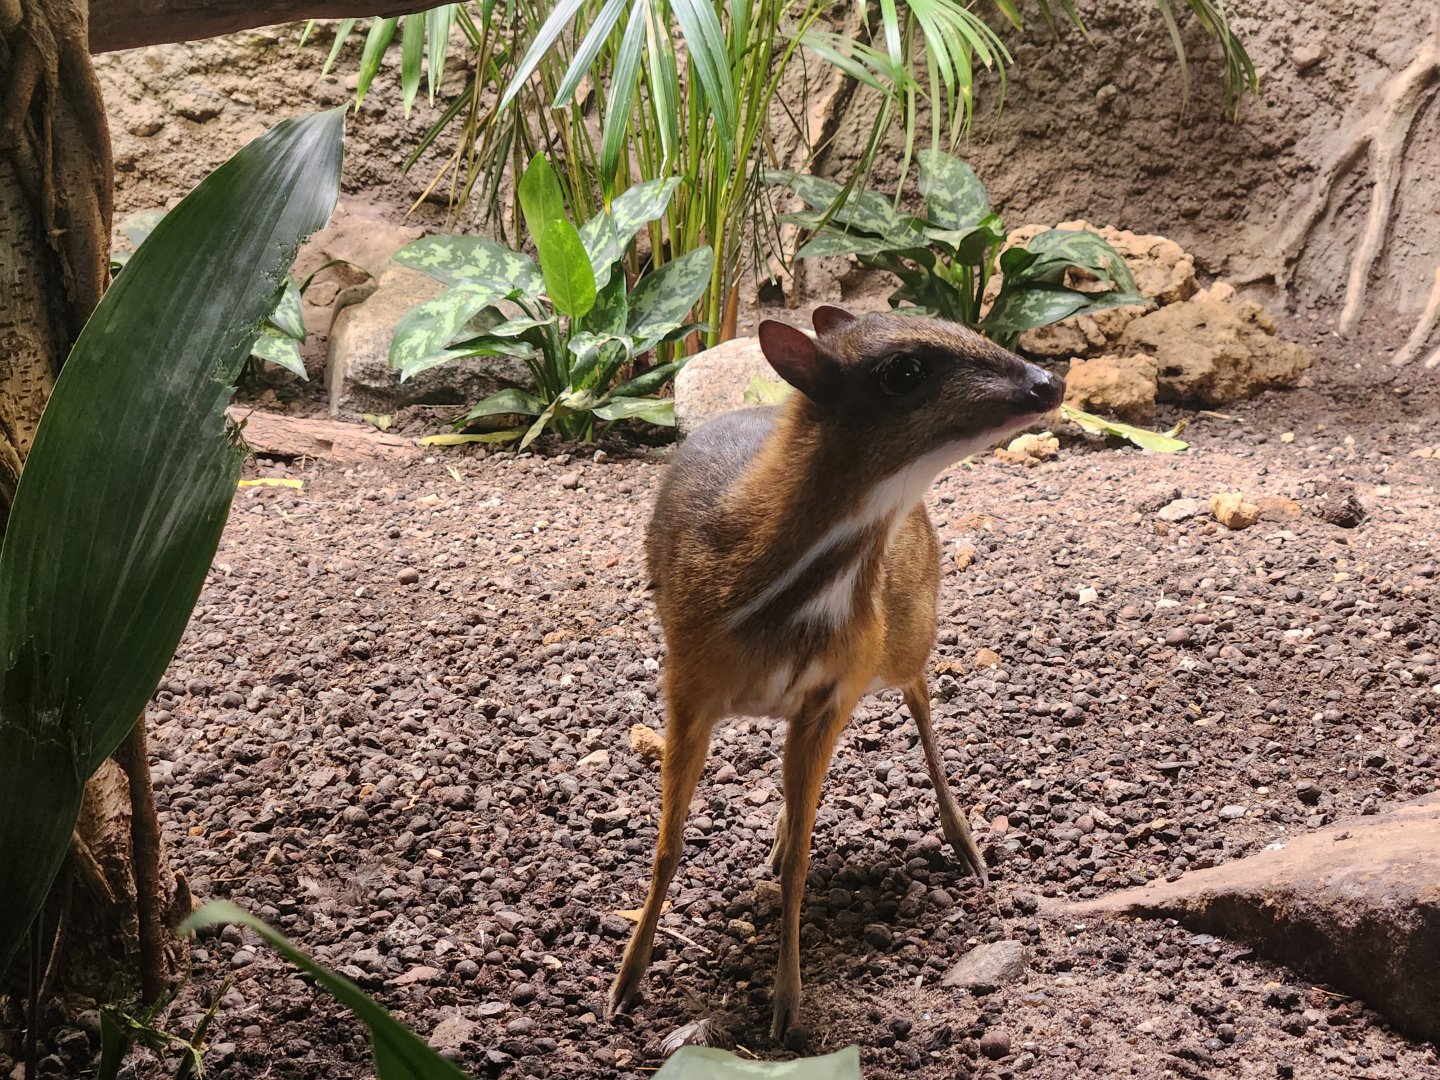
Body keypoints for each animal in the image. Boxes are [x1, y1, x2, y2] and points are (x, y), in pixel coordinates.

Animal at [608, 306, 1065, 1037]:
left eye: (962, 326)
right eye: (903, 371)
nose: (1048, 383)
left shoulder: (834, 688)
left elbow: (802, 858)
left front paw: (786, 1001)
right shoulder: (688, 678)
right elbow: (668, 847)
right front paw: (627, 978)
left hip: (903, 638)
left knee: (921, 698)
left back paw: (966, 846)